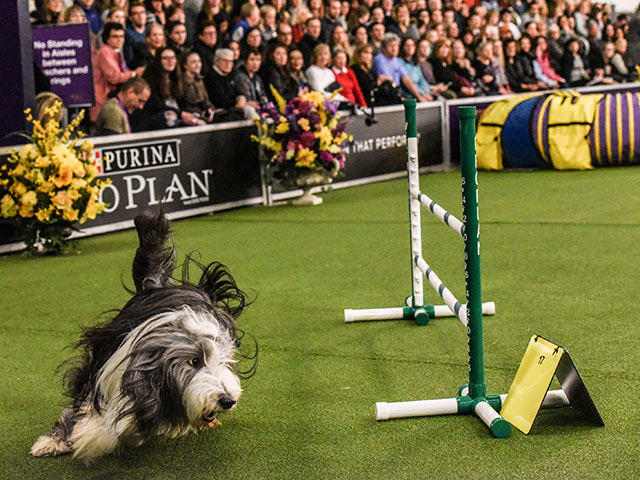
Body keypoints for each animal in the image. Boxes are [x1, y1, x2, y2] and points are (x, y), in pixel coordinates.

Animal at [30, 211, 255, 462]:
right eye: (194, 361)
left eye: (224, 362)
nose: (228, 400)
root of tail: (154, 285)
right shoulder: (103, 368)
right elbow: (86, 406)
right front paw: (65, 438)